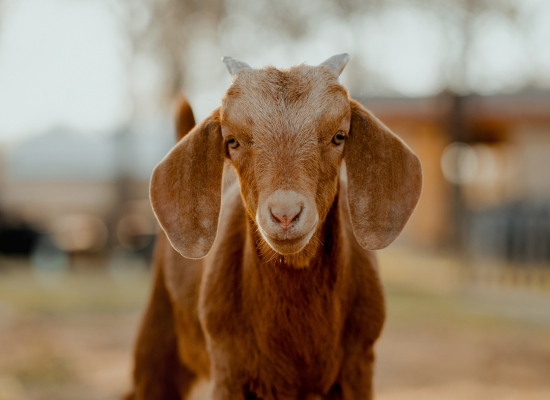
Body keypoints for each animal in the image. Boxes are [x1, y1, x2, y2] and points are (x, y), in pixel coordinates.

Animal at [126, 54, 422, 400]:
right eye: (232, 141)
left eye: (339, 136)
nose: (285, 215)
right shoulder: (227, 368)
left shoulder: (359, 365)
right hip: (156, 344)